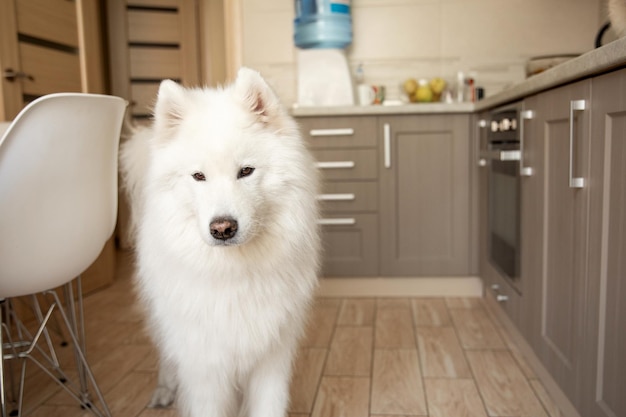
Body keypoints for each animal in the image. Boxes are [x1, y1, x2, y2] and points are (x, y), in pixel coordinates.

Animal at [119, 67, 320, 416]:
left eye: (246, 171)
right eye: (198, 176)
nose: (223, 228)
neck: (234, 272)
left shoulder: (271, 358)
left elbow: (267, 406)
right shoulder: (204, 366)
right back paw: (163, 390)